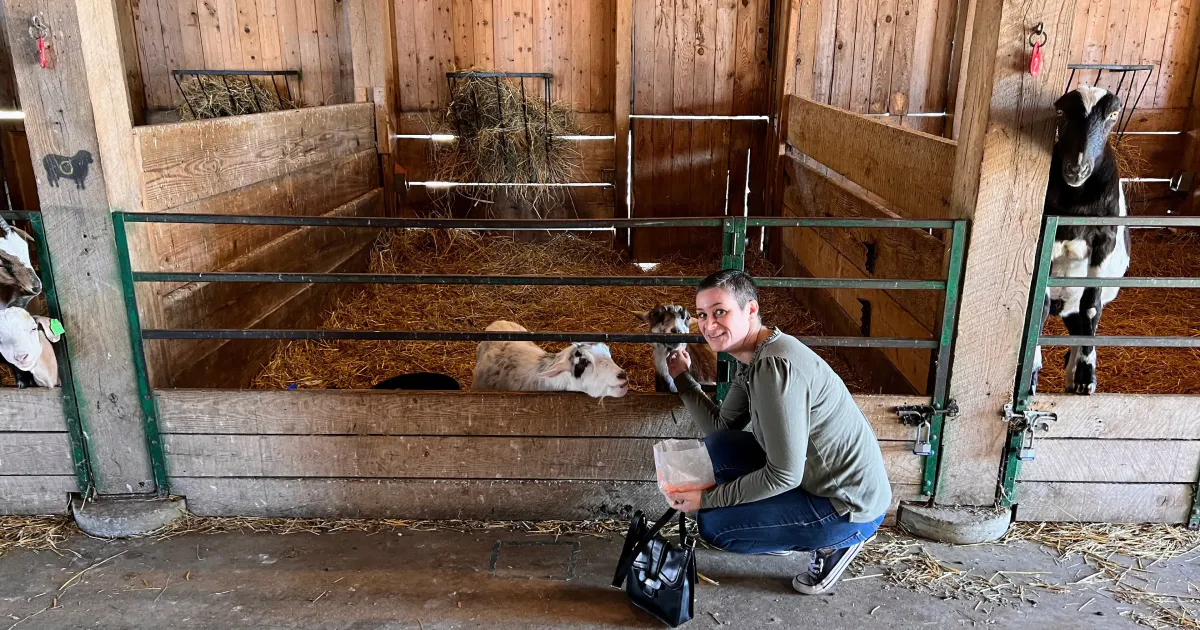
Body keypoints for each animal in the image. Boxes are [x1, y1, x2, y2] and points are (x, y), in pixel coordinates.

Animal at [1032, 85, 1132, 396]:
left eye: (1113, 115)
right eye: (1061, 113)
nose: (1077, 169)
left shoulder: (1104, 240)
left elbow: (1092, 306)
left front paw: (1086, 376)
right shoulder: (1046, 236)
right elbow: (1039, 306)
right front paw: (1031, 373)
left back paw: (1077, 375)